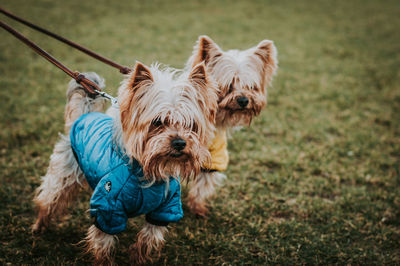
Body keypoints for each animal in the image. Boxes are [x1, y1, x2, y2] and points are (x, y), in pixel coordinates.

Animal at [185, 35, 276, 217]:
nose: (243, 100)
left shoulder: (214, 156)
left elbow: (202, 183)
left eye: (251, 87)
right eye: (227, 86)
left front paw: (197, 207)